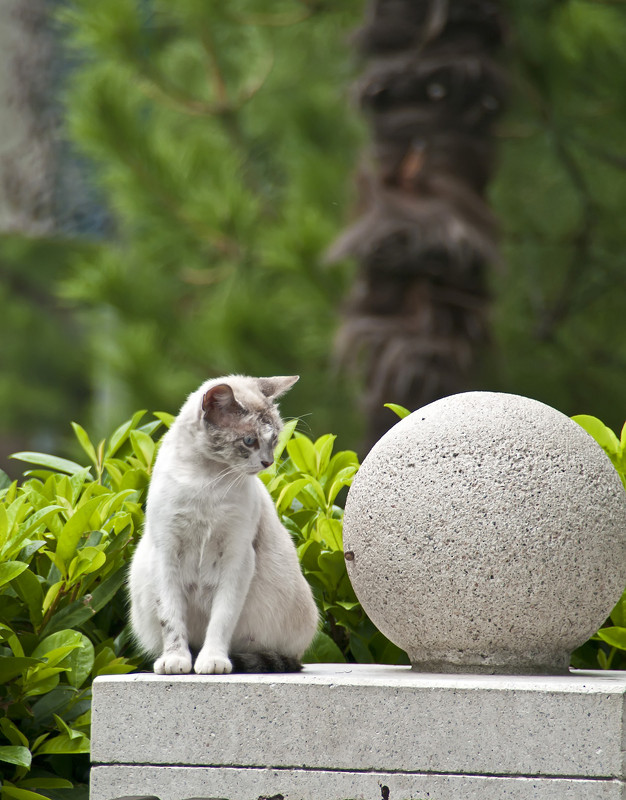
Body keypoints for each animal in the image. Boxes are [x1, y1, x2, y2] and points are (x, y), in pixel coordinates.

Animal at [130, 376, 316, 676]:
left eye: (274, 439)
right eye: (250, 441)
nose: (268, 462)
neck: (206, 479)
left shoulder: (237, 557)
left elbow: (222, 619)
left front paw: (212, 662)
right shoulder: (166, 553)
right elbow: (171, 619)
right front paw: (176, 661)